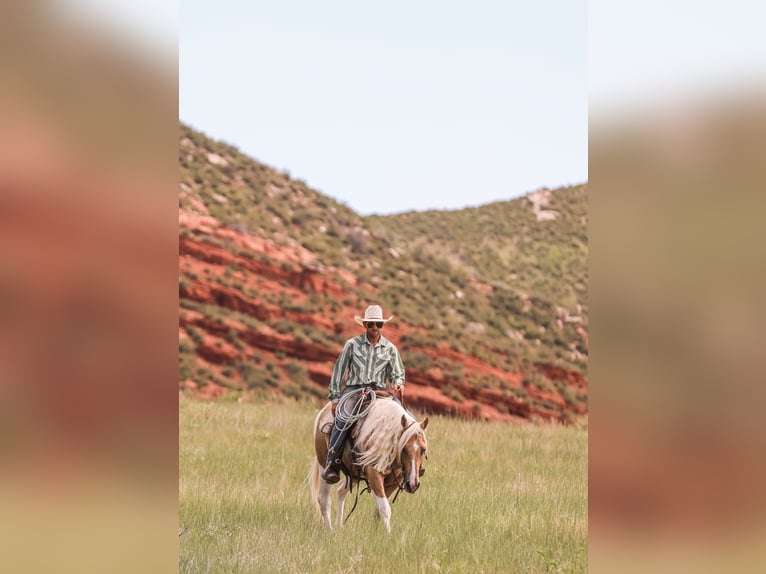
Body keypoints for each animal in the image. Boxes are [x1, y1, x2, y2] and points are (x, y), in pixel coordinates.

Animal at [309, 393, 429, 533]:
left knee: (340, 491)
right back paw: (331, 531)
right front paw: (389, 535)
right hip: (323, 465)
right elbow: (385, 509)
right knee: (323, 500)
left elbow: (379, 510)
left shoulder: (394, 481)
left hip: (353, 474)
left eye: (423, 449)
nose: (413, 484)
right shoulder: (374, 476)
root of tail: (323, 411)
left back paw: (339, 526)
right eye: (404, 449)